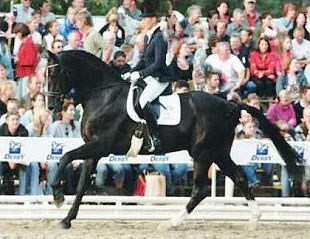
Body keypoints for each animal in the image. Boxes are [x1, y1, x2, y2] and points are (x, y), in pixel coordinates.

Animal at [47, 51, 300, 230]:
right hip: (218, 153)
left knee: (200, 190)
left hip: (203, 154)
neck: (103, 94)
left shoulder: (100, 144)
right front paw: (66, 219)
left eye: (55, 74)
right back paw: (254, 218)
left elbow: (66, 157)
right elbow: (81, 185)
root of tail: (230, 105)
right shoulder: (95, 150)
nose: (51, 106)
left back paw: (171, 222)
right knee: (238, 178)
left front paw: (58, 196)